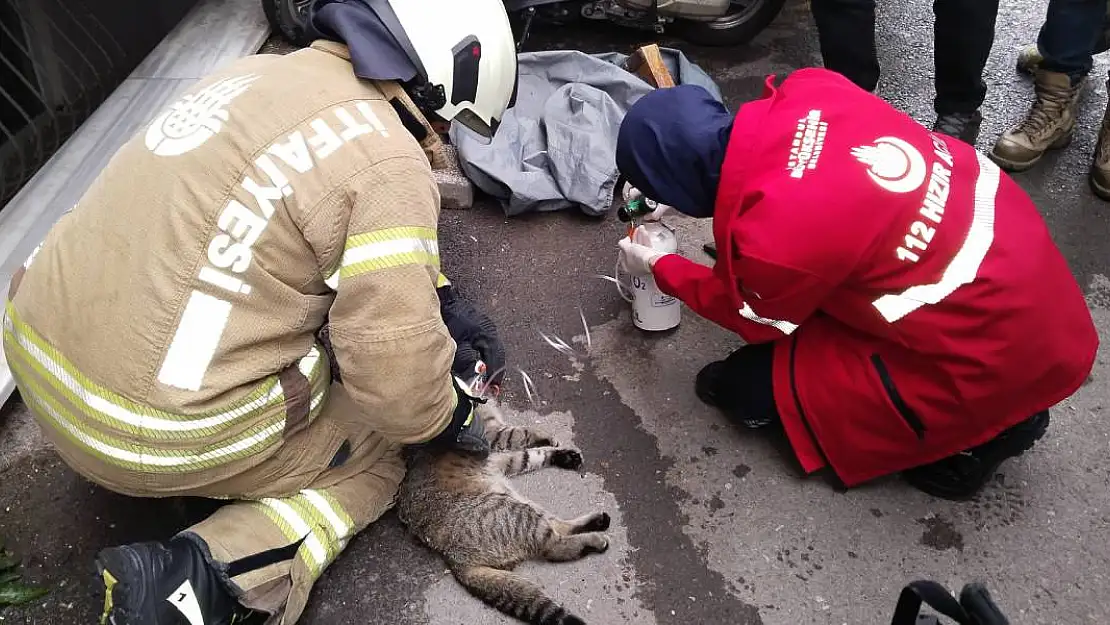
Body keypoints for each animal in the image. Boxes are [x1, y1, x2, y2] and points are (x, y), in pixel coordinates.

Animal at [397, 401, 612, 625]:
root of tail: (453, 558)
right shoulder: (495, 439)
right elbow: (525, 435)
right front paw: (547, 439)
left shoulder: (505, 458)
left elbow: (533, 455)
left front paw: (561, 454)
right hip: (516, 512)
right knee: (555, 546)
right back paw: (594, 540)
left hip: (520, 503)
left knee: (558, 525)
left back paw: (597, 521)